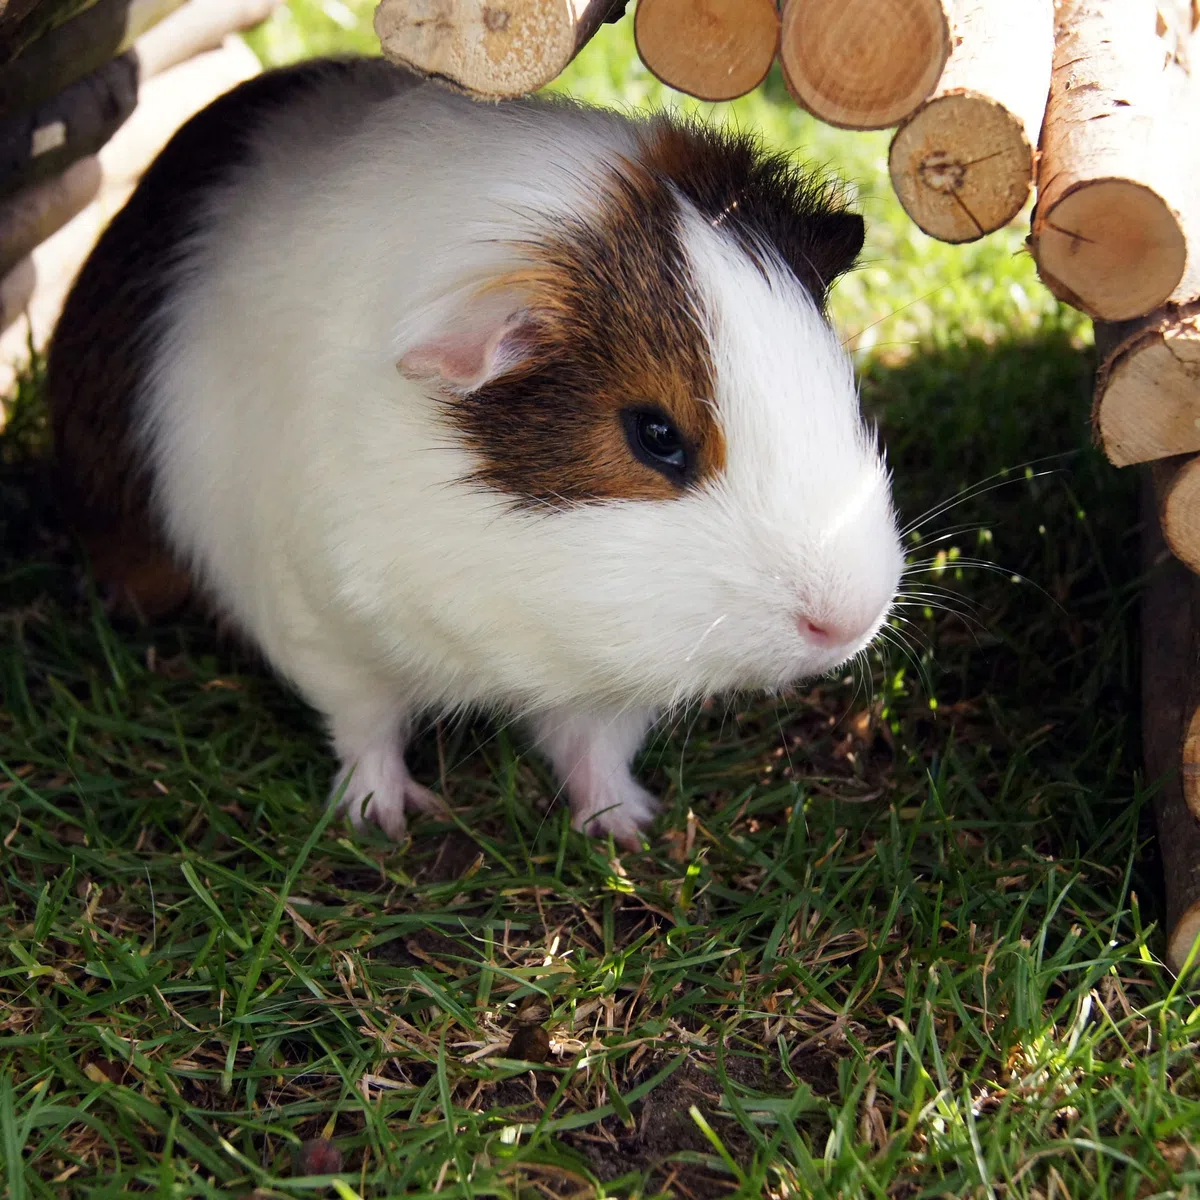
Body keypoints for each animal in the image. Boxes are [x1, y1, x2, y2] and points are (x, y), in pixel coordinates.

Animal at [48, 55, 905, 848]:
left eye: (840, 384)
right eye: (656, 435)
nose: (846, 622)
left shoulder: (603, 681)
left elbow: (595, 746)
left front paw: (627, 828)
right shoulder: (316, 624)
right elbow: (365, 725)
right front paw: (386, 820)